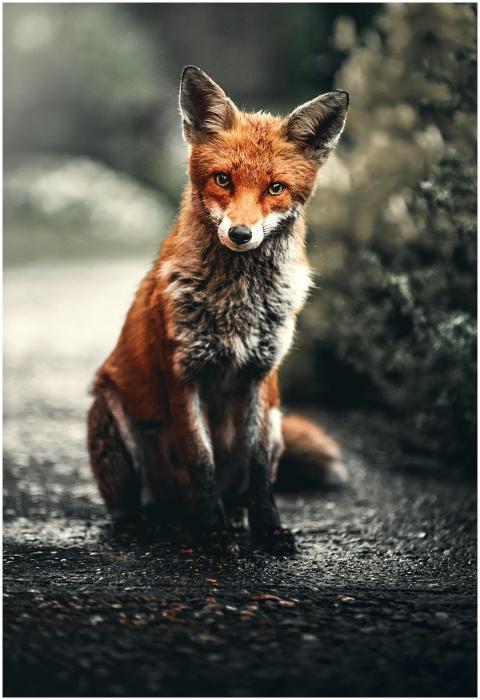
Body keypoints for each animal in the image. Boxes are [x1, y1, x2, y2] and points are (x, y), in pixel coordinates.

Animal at [87, 65, 349, 554]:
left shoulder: (261, 377)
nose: (241, 234)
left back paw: (235, 518)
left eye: (275, 188)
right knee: (133, 506)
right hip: (111, 412)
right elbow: (201, 460)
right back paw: (153, 524)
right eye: (224, 179)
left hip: (278, 420)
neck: (237, 303)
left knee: (242, 487)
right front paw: (212, 534)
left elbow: (260, 470)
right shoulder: (183, 374)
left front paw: (267, 529)